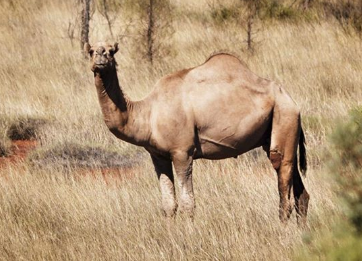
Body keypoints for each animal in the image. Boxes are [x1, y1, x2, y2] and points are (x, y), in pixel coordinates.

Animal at [84, 42, 308, 223]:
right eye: (91, 51)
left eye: (111, 52)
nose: (100, 58)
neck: (148, 113)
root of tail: (292, 102)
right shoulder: (158, 155)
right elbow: (168, 205)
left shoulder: (182, 152)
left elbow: (187, 204)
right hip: (280, 131)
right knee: (300, 192)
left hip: (284, 117)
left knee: (282, 176)